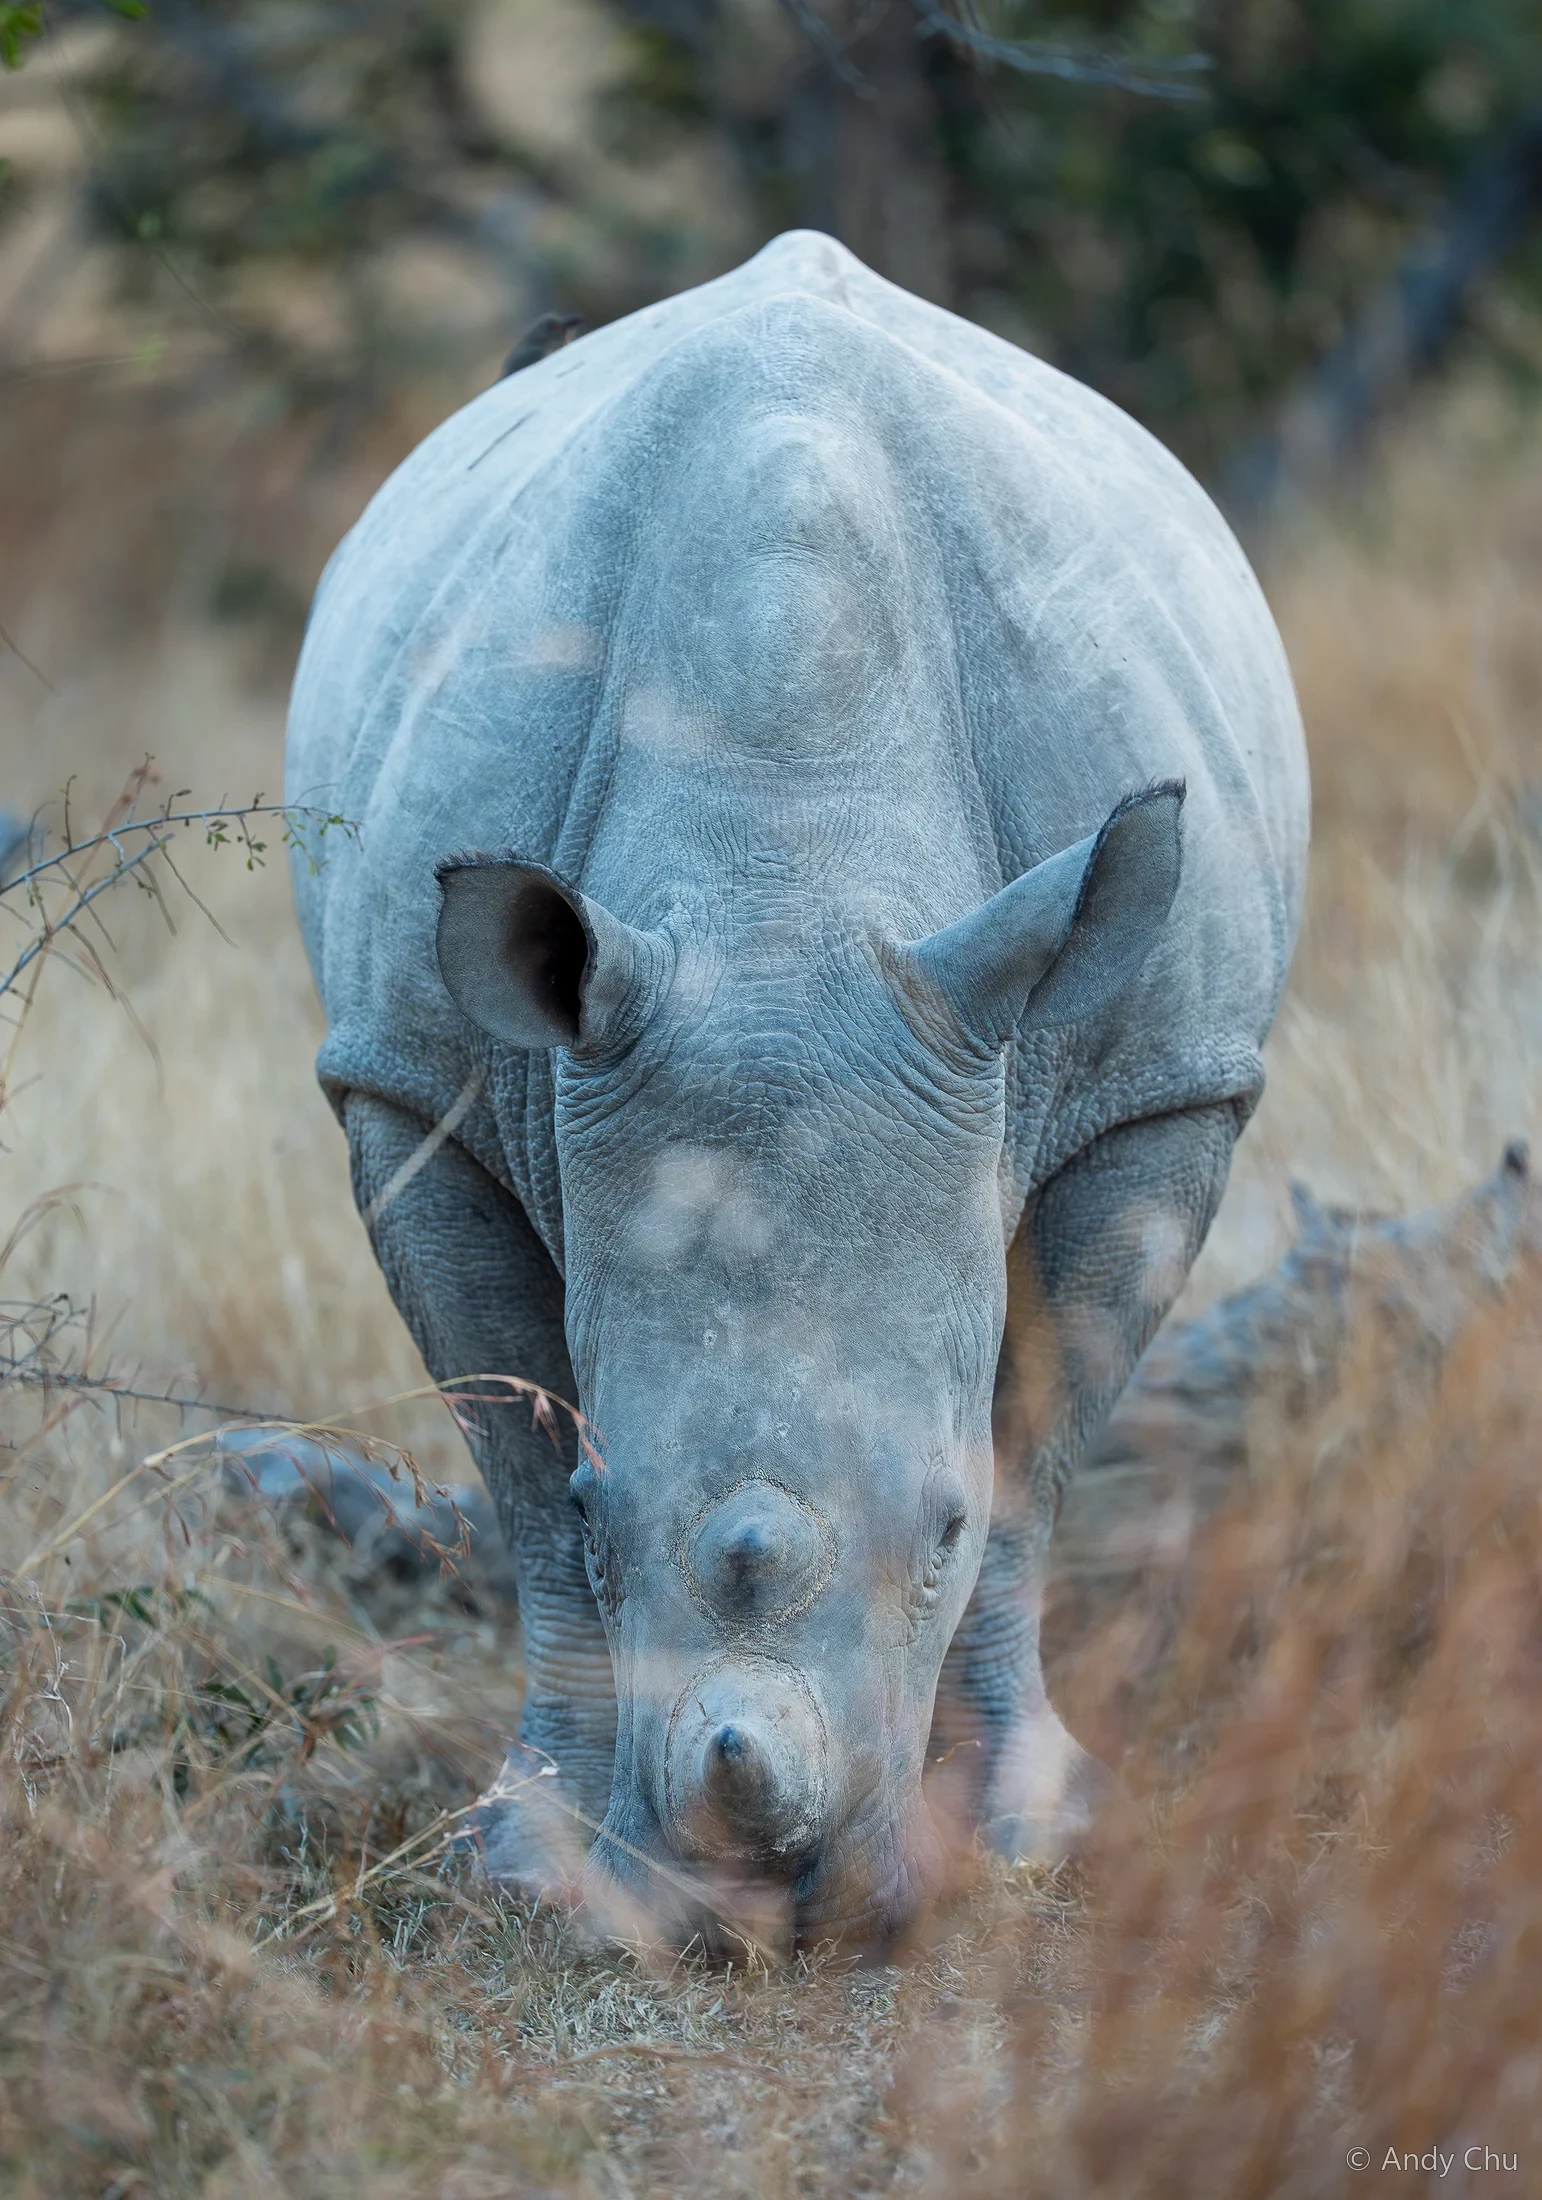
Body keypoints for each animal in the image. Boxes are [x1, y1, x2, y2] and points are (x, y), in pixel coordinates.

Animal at [286, 231, 1308, 1949]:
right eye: (604, 1513)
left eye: (936, 1533)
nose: (759, 1907)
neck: (782, 878)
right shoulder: (417, 1091)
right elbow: (515, 1465)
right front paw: (534, 1869)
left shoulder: (1157, 1085)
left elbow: (1034, 1449)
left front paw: (1022, 1841)